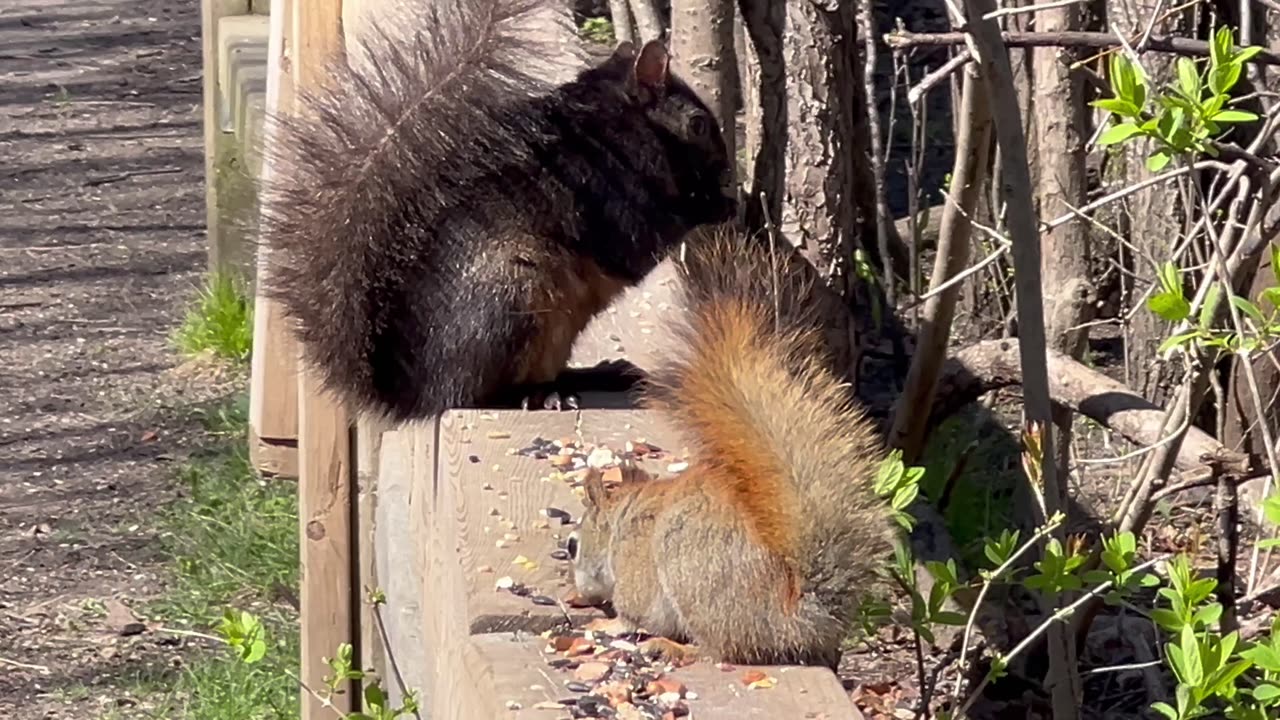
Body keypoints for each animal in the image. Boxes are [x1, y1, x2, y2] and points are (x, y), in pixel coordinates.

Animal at [258, 0, 737, 422]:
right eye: (698, 124)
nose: (727, 168)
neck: (613, 125)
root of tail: (415, 393)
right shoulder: (611, 197)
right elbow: (647, 234)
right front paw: (720, 204)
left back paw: (594, 375)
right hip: (511, 300)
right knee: (479, 395)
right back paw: (542, 395)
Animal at [567, 226, 898, 670]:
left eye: (573, 544)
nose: (578, 593)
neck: (625, 516)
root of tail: (791, 618)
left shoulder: (635, 564)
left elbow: (634, 613)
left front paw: (609, 623)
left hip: (689, 569)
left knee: (721, 649)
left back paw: (675, 647)